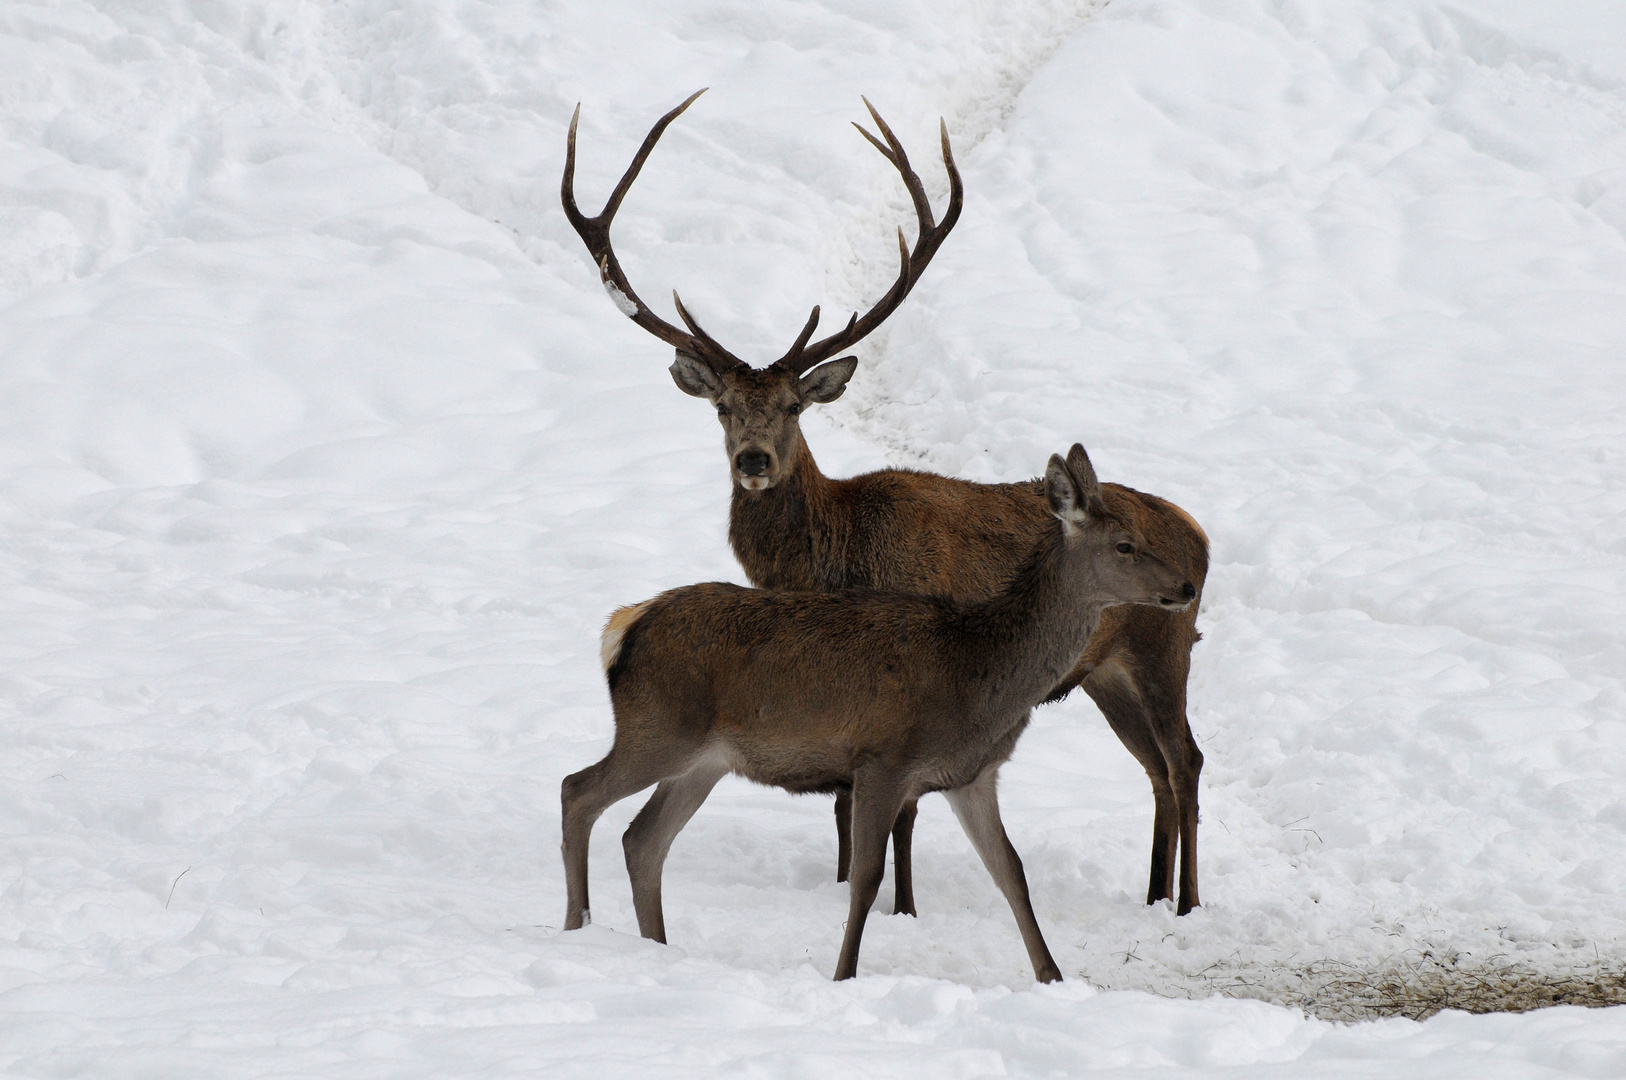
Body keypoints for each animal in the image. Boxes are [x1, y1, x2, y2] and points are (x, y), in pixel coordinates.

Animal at [559, 97, 1209, 917]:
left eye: (795, 408)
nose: (754, 461)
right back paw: (1153, 895)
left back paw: (1187, 903)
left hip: (1162, 647)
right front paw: (847, 884)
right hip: (1105, 673)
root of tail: (1200, 535)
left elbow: (896, 811)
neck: (827, 559)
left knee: (1185, 760)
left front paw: (901, 906)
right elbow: (846, 804)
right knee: (1154, 767)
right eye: (723, 409)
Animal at [565, 442, 1203, 982]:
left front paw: (1053, 977)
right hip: (657, 728)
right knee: (578, 791)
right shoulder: (881, 760)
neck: (979, 675)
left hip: (703, 761)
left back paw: (655, 946)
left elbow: (1012, 873)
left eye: (1140, 536)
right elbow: (866, 878)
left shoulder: (971, 777)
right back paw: (577, 926)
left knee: (643, 840)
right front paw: (843, 974)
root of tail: (623, 629)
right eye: (1125, 545)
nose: (1187, 586)